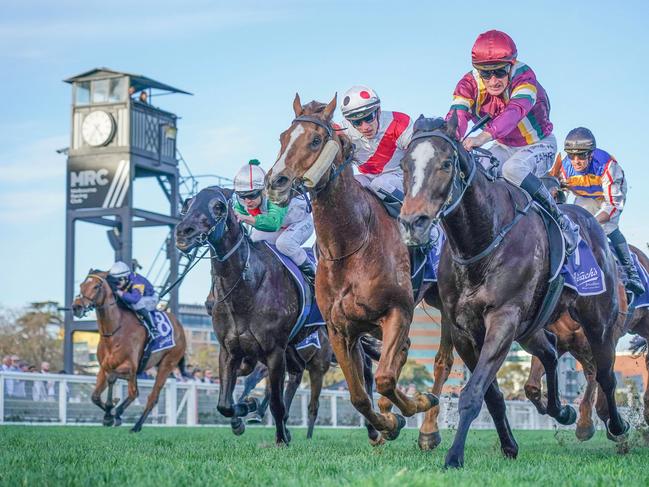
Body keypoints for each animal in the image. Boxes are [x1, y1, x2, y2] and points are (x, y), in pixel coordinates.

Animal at [72, 270, 186, 434]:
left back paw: (136, 426)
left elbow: (112, 378)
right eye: (81, 285)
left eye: (96, 286)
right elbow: (95, 396)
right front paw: (111, 414)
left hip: (167, 364)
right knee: (134, 392)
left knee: (152, 397)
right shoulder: (104, 368)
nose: (76, 307)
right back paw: (120, 414)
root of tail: (180, 327)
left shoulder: (129, 366)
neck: (114, 332)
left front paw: (110, 411)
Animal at [175, 187, 382, 446]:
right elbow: (225, 403)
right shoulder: (230, 350)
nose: (184, 232)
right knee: (299, 374)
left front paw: (280, 438)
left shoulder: (274, 351)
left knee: (363, 369)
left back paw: (374, 427)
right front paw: (243, 412)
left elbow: (275, 401)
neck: (248, 286)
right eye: (187, 203)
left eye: (218, 207)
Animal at [264, 95, 446, 446]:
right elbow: (360, 395)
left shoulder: (398, 311)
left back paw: (428, 427)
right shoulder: (339, 329)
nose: (275, 182)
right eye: (282, 138)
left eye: (316, 140)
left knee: (442, 358)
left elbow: (386, 378)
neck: (350, 246)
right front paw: (387, 423)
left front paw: (413, 405)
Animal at [400, 115, 628, 468]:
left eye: (446, 163)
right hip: (532, 326)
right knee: (550, 351)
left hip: (598, 321)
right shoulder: (463, 329)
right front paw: (508, 445)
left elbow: (473, 392)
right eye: (404, 165)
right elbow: (491, 394)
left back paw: (616, 426)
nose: (414, 222)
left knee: (605, 373)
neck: (483, 241)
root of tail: (591, 221)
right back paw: (561, 410)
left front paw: (454, 456)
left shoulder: (503, 318)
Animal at [524, 246, 648, 440]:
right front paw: (562, 411)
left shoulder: (603, 339)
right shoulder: (560, 342)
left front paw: (595, 423)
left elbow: (600, 378)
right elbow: (532, 386)